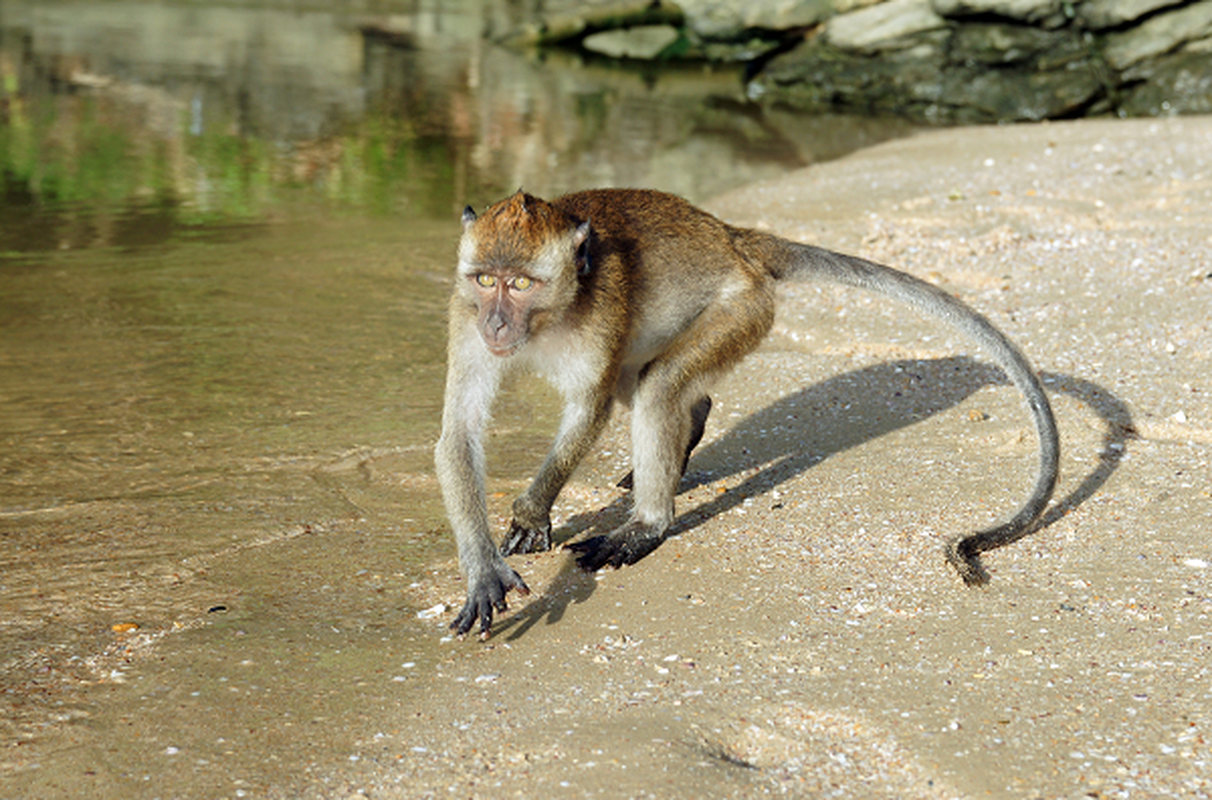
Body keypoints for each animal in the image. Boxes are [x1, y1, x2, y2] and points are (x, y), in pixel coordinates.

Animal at [436, 187, 1061, 635]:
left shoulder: (603, 309)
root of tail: (732, 238)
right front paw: (484, 568)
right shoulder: (463, 315)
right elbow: (458, 434)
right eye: (486, 279)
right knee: (649, 380)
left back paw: (647, 525)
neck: (550, 317)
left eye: (521, 284)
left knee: (658, 385)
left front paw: (530, 512)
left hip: (744, 307)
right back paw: (685, 436)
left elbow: (589, 410)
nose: (497, 324)